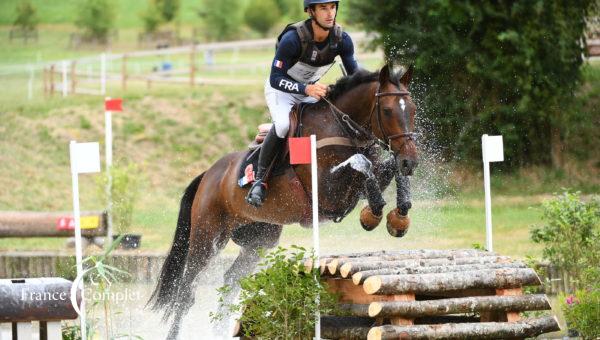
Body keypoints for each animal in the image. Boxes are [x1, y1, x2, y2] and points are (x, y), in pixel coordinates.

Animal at [146, 63, 418, 338]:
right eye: (387, 111)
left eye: (413, 109)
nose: (411, 161)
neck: (341, 128)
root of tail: (208, 175)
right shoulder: (328, 194)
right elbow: (361, 164)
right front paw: (373, 213)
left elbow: (386, 168)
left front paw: (399, 216)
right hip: (207, 237)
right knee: (185, 290)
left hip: (259, 239)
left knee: (230, 281)